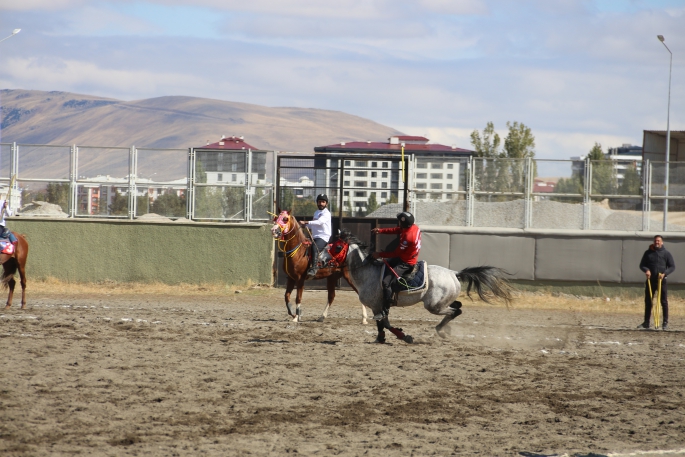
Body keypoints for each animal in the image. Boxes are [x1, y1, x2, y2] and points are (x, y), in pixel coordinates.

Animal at [318, 230, 510, 344]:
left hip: (433, 306)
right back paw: (444, 329)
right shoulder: (377, 307)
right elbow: (381, 324)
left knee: (455, 311)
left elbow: (385, 323)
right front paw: (380, 338)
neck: (367, 271)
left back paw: (440, 330)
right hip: (442, 302)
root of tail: (454, 273)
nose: (320, 260)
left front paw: (404, 336)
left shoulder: (379, 306)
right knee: (458, 307)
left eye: (337, 247)